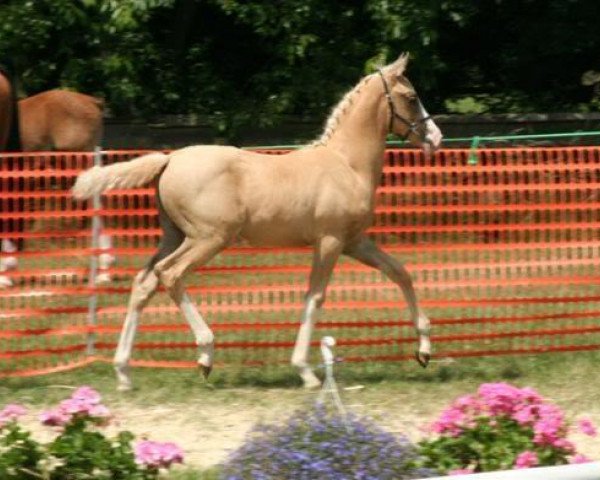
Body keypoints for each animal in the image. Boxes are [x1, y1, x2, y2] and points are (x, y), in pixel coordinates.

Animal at [74, 53, 440, 390]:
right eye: (411, 97)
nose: (435, 139)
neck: (346, 165)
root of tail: (170, 159)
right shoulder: (330, 241)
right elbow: (315, 297)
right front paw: (305, 372)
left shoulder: (354, 241)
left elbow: (399, 272)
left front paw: (424, 350)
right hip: (208, 238)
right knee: (171, 274)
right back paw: (205, 353)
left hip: (174, 237)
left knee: (143, 284)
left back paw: (123, 372)